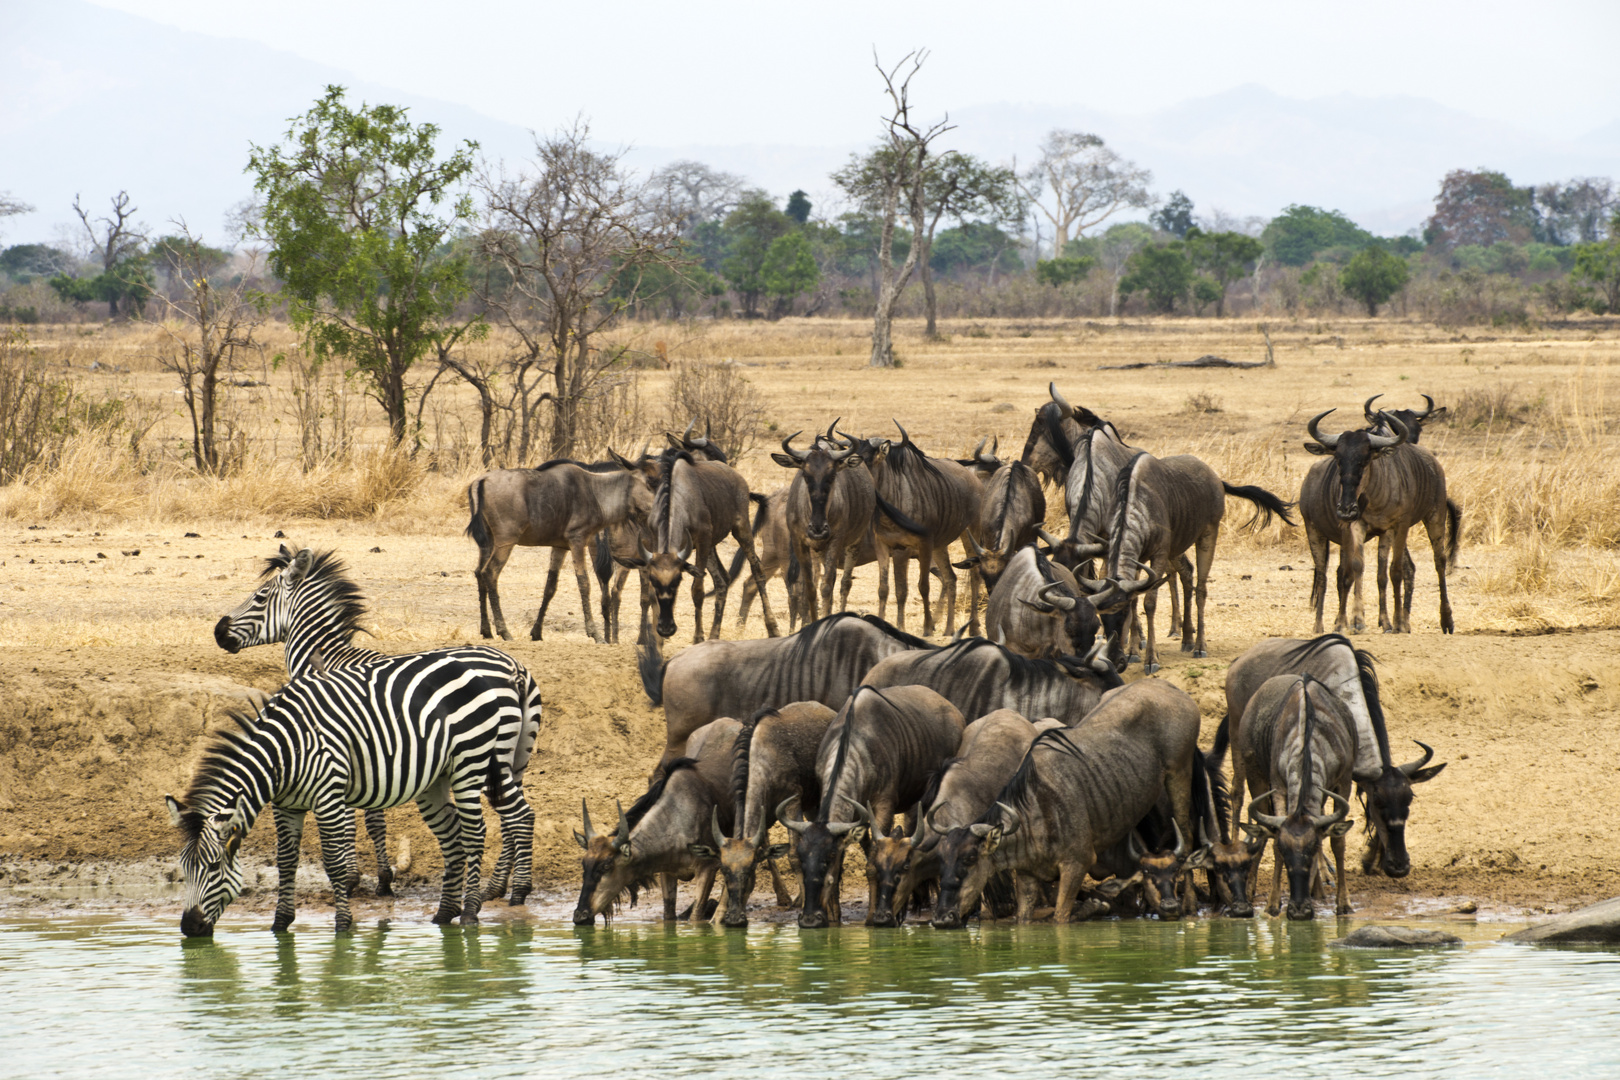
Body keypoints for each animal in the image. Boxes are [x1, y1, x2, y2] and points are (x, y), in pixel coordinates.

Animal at [164, 650, 534, 939]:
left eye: (213, 867)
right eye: (183, 868)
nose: (189, 928)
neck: (286, 752)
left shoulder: (328, 796)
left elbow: (334, 862)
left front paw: (343, 925)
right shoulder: (286, 806)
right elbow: (286, 862)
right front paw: (280, 924)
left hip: (472, 766)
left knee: (481, 831)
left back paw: (478, 908)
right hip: (436, 780)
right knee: (456, 837)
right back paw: (445, 914)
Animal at [215, 544, 547, 906]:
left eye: (259, 597)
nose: (218, 631)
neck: (325, 660)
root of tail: (515, 668)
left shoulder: (338, 748)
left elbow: (349, 821)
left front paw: (352, 879)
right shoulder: (369, 753)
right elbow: (374, 818)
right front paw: (384, 880)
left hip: (486, 758)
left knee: (518, 816)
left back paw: (517, 890)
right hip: (516, 757)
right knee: (516, 816)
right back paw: (497, 887)